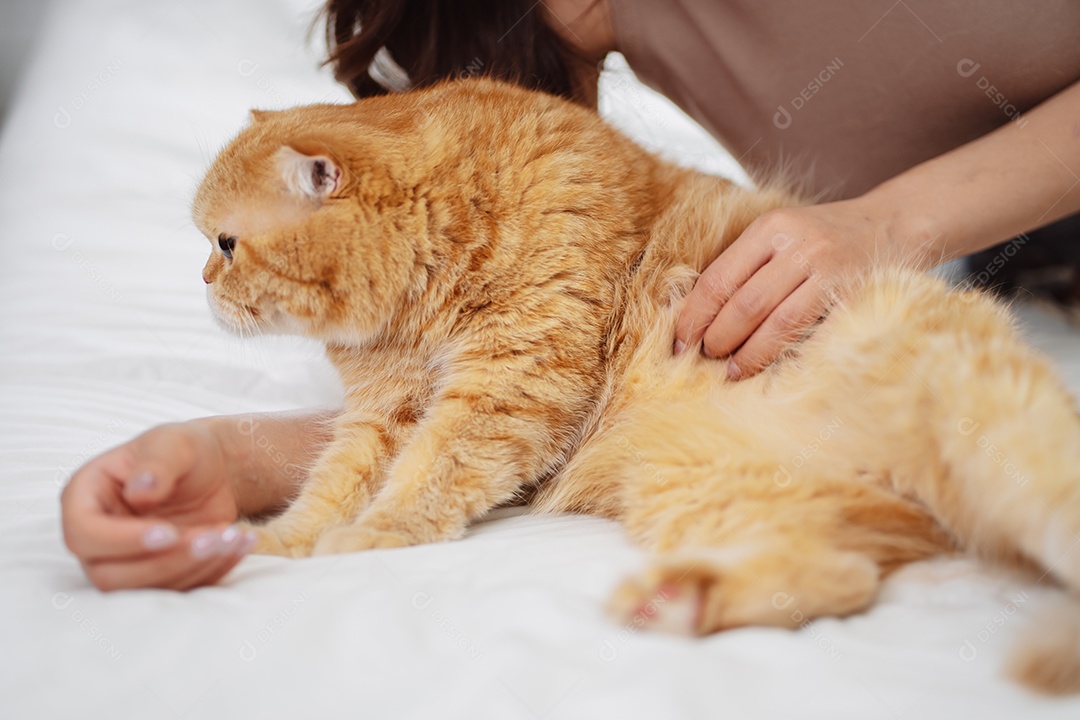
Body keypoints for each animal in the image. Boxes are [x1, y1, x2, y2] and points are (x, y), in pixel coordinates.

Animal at [194, 78, 1080, 690]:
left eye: (226, 243)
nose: (202, 282)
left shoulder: (510, 380)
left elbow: (431, 472)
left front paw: (381, 530)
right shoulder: (383, 414)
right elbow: (332, 485)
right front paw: (280, 542)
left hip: (987, 427)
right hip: (700, 489)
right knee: (843, 577)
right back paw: (682, 602)